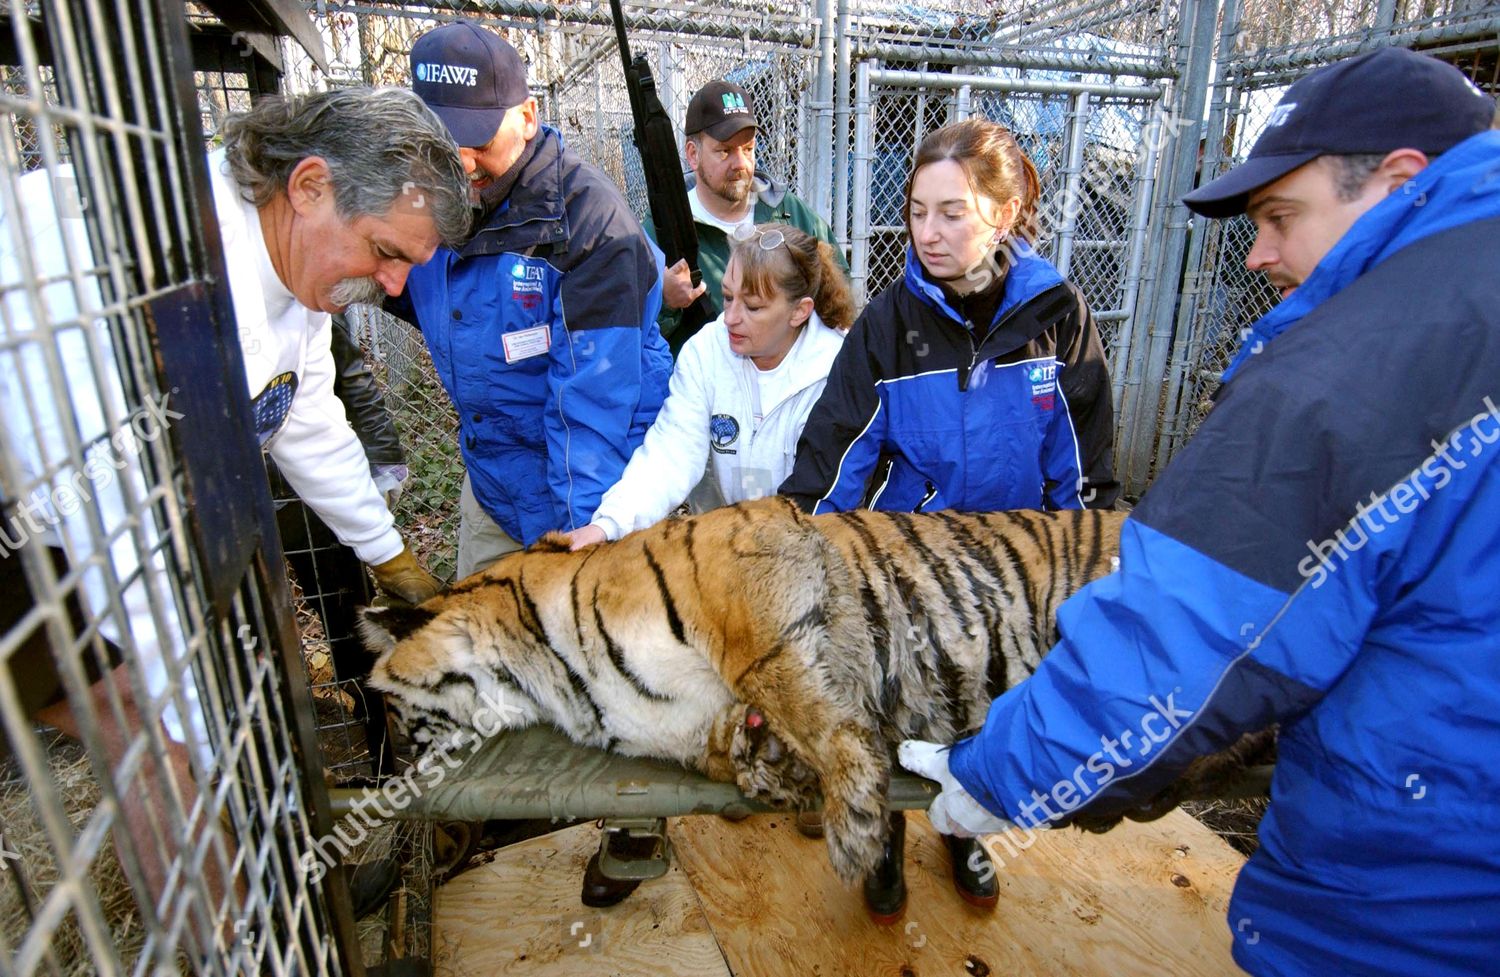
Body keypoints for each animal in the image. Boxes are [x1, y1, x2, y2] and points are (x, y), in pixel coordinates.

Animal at [360, 498, 1242, 888]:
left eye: (396, 715)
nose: (389, 781)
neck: (555, 679)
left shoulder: (748, 580)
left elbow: (800, 695)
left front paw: (854, 827)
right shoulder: (694, 727)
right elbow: (750, 742)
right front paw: (779, 774)